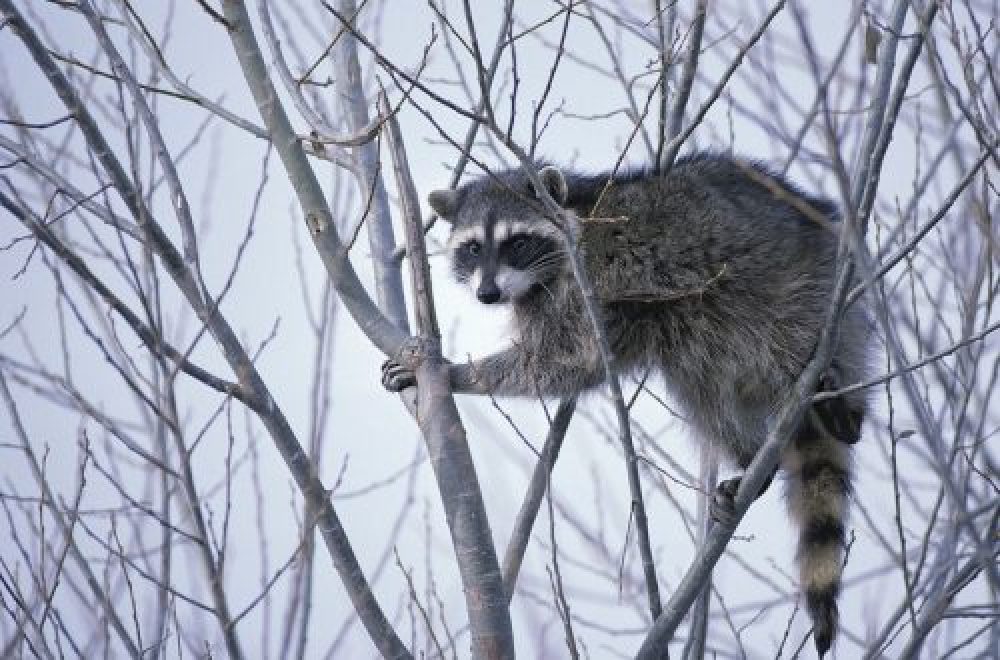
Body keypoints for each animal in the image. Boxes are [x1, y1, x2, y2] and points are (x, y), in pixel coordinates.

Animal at [382, 153, 868, 656]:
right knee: (699, 385)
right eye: (473, 248)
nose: (488, 294)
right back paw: (751, 458)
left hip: (800, 292)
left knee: (784, 342)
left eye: (517, 242)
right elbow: (572, 366)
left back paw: (844, 412)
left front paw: (457, 373)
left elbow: (563, 360)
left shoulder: (589, 286)